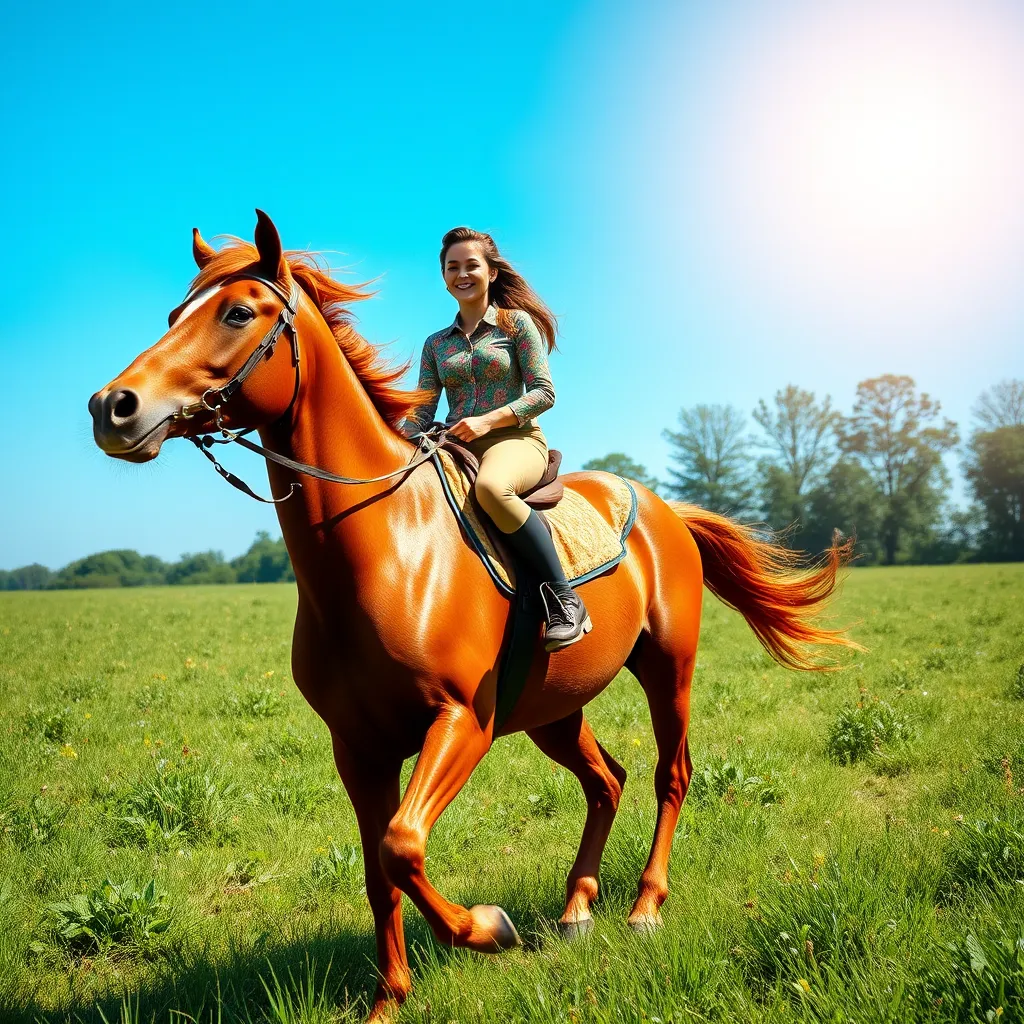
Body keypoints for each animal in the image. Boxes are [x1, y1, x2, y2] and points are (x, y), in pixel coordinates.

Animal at [89, 211, 859, 1021]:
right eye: (173, 317)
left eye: (238, 313)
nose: (113, 407)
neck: (386, 553)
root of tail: (662, 508)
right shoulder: (357, 747)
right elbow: (379, 871)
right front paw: (389, 998)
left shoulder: (461, 721)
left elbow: (402, 846)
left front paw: (488, 928)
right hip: (555, 710)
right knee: (606, 780)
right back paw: (576, 908)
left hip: (666, 671)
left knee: (668, 774)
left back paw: (645, 906)